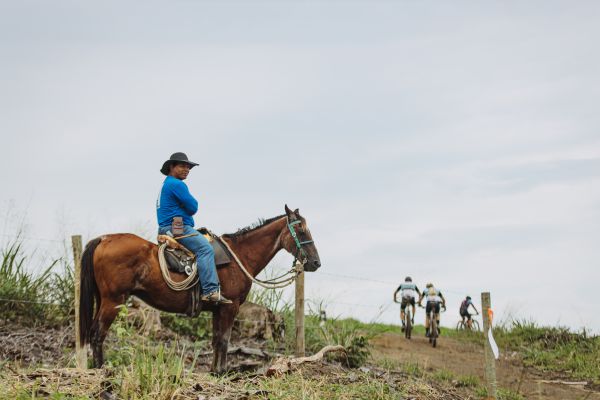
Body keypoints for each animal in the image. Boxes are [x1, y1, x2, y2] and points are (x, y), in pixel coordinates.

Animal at [83, 205, 324, 374]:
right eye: (301, 230)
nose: (315, 263)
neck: (240, 256)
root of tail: (104, 239)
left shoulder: (218, 309)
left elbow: (216, 339)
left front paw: (214, 371)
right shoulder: (230, 307)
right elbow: (225, 340)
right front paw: (222, 372)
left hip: (102, 299)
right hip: (113, 300)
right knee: (97, 333)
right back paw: (101, 369)